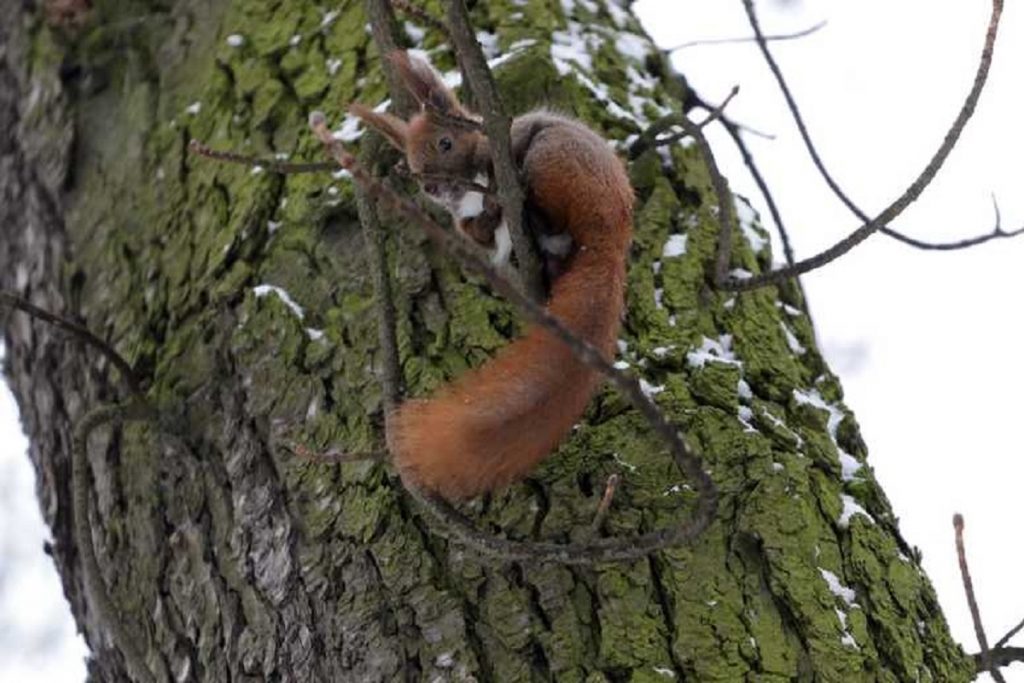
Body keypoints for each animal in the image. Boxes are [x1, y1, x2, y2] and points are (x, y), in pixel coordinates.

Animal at [356, 53, 634, 499]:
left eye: (446, 142)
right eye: (413, 167)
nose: (433, 188)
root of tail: (610, 238)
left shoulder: (505, 143)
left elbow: (507, 151)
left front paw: (494, 197)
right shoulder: (466, 224)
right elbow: (476, 231)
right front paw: (484, 219)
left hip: (555, 160)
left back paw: (532, 211)